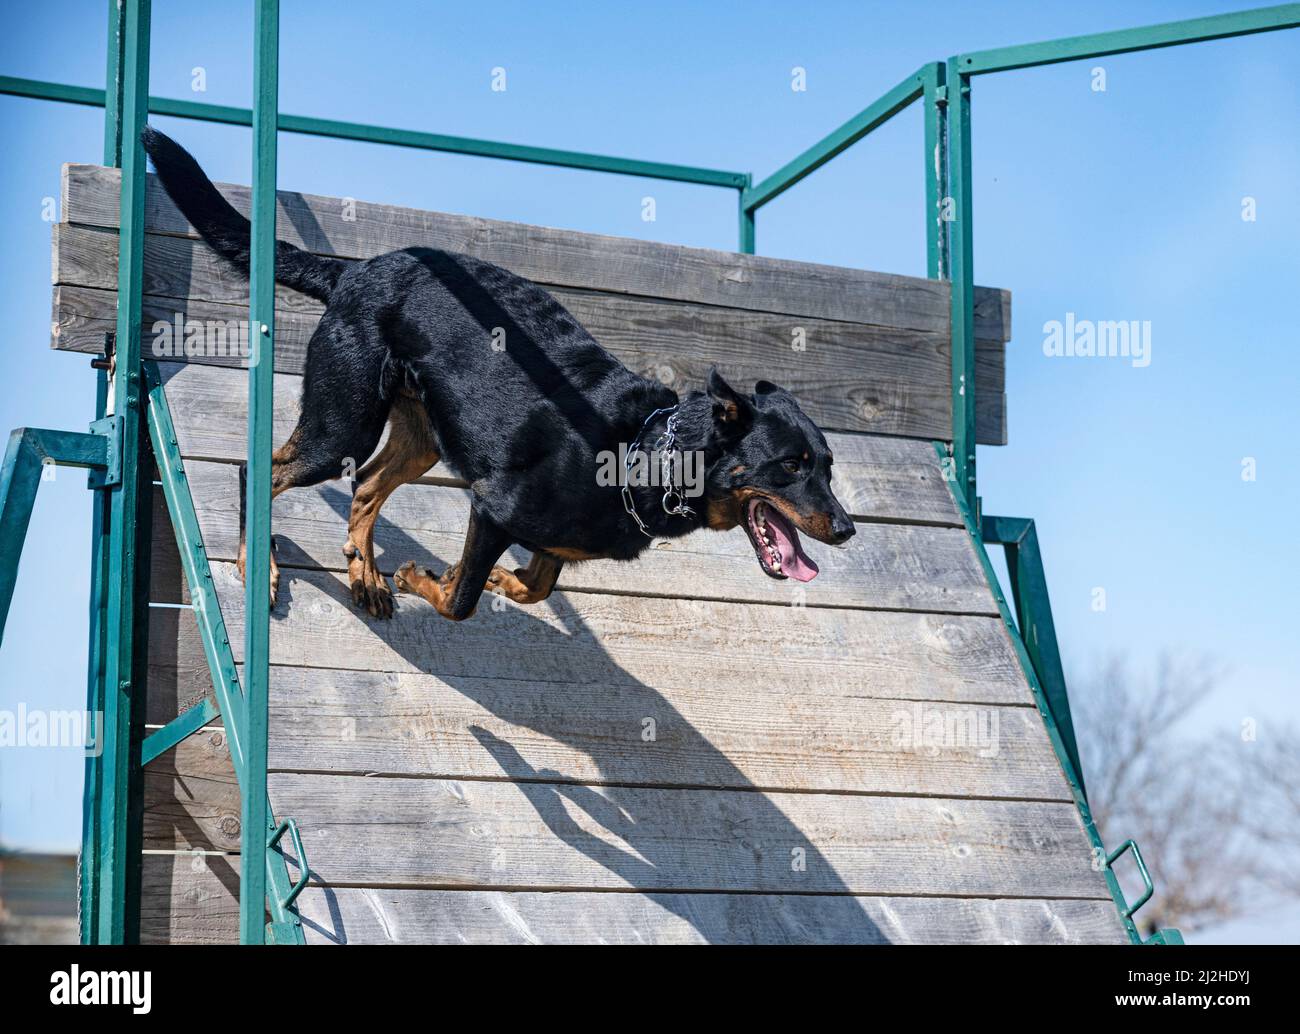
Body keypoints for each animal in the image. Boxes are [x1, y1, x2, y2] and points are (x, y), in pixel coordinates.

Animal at [142, 125, 857, 619]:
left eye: (826, 467)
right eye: (790, 466)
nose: (848, 530)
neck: (642, 452)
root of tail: (353, 271)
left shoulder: (541, 536)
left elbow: (537, 585)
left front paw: (497, 580)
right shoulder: (491, 507)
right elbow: (460, 600)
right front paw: (425, 579)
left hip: (421, 438)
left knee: (367, 486)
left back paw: (364, 574)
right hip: (343, 421)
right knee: (260, 469)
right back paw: (260, 564)